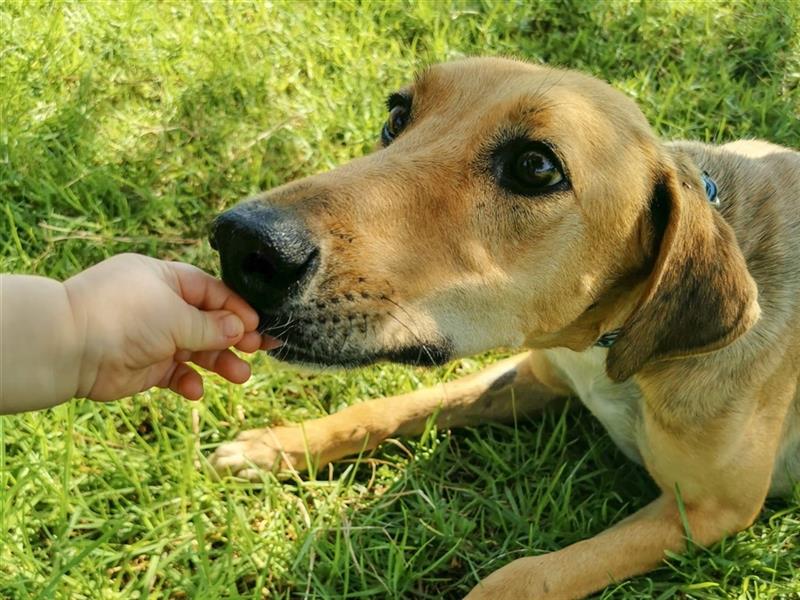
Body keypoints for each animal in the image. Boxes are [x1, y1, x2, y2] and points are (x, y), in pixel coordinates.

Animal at [208, 57, 800, 600]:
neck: (616, 344)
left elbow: (524, 575)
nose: (241, 241)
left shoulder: (711, 510)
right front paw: (278, 445)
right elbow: (390, 407)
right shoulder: (538, 372)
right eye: (397, 115)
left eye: (536, 167)